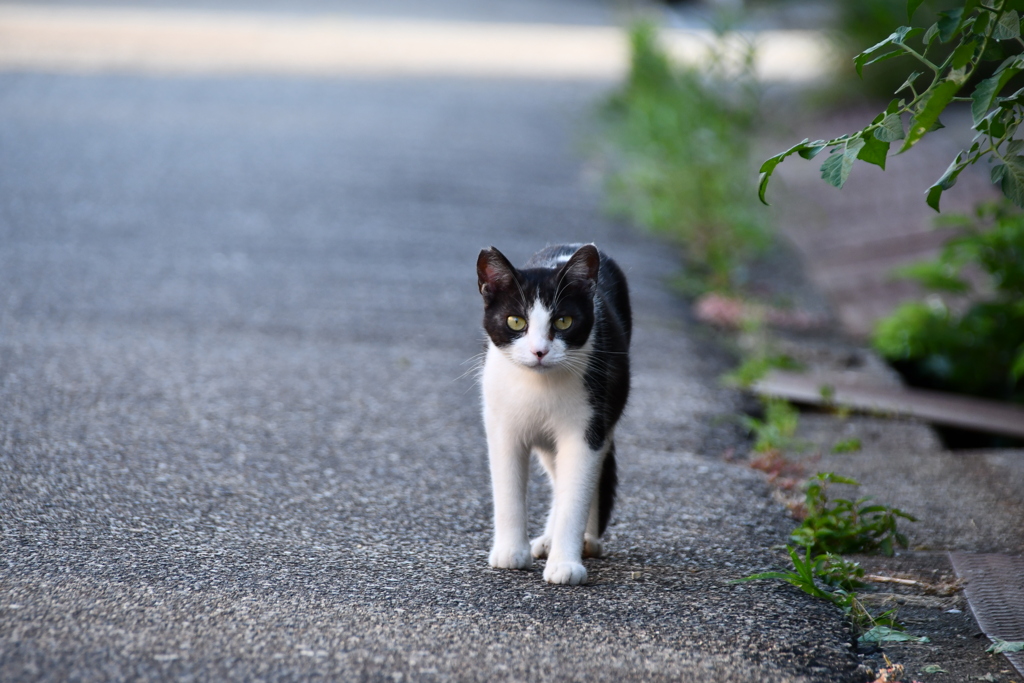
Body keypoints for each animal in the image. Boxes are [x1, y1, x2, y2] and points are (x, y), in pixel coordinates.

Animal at [473, 242, 630, 585]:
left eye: (563, 322)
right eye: (516, 322)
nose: (539, 351)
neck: (538, 386)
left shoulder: (587, 426)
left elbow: (577, 492)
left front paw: (565, 563)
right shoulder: (501, 424)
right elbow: (507, 487)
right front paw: (510, 552)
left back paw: (586, 542)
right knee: (557, 476)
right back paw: (546, 539)